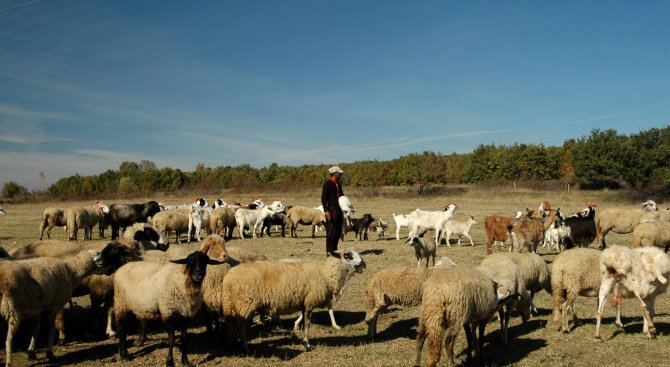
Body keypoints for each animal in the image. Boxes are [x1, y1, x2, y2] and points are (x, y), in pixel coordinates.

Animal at [223, 247, 364, 354]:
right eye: (347, 255)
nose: (364, 264)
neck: (325, 273)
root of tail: (228, 278)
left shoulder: (305, 301)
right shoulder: (310, 301)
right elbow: (307, 324)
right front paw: (307, 344)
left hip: (234, 303)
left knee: (231, 325)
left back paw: (232, 343)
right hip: (245, 303)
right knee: (241, 326)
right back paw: (245, 347)